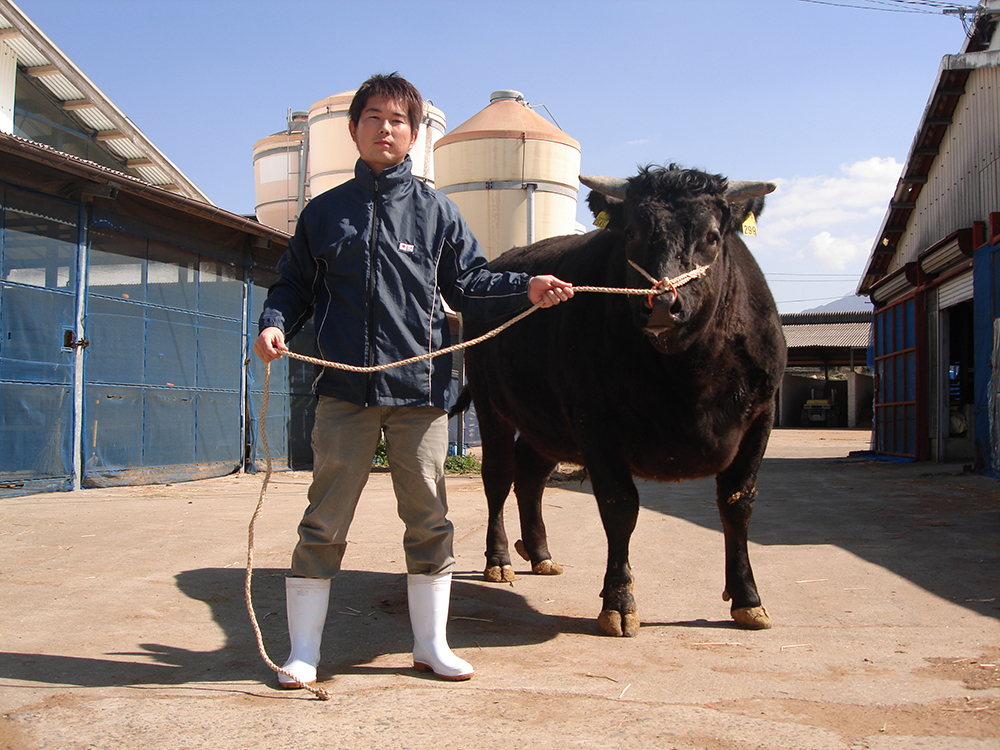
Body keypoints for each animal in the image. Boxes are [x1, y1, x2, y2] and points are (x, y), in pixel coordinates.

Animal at [454, 164, 788, 636]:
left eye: (711, 236)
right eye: (631, 232)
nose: (662, 304)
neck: (689, 377)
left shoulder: (761, 416)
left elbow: (738, 503)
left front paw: (748, 599)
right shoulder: (595, 422)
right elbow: (620, 507)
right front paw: (619, 601)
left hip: (547, 424)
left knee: (531, 475)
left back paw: (540, 554)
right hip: (491, 404)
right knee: (499, 476)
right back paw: (498, 559)